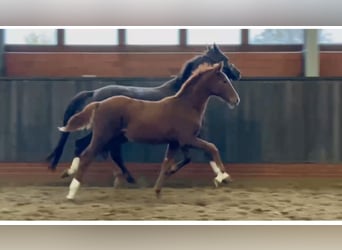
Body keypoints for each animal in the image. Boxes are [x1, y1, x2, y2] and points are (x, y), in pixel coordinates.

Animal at [46, 44, 242, 186]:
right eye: (225, 59)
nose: (239, 73)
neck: (182, 95)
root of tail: (94, 93)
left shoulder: (186, 135)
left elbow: (201, 153)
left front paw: (222, 176)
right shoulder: (189, 134)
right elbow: (205, 151)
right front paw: (223, 176)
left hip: (114, 135)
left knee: (106, 151)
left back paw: (122, 177)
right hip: (105, 132)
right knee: (85, 146)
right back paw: (76, 172)